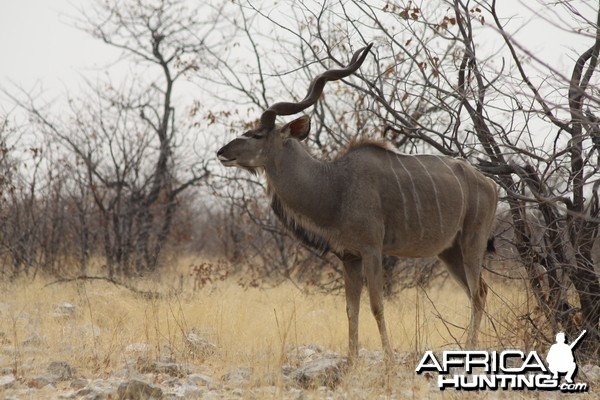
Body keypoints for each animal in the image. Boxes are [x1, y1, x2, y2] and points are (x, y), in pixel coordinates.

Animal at [216, 43, 496, 360]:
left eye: (257, 134)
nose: (222, 152)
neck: (334, 185)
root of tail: (490, 184)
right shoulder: (348, 256)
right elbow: (351, 309)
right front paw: (351, 362)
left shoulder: (372, 250)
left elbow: (376, 305)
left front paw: (388, 361)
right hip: (449, 251)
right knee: (478, 291)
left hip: (472, 243)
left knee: (478, 293)